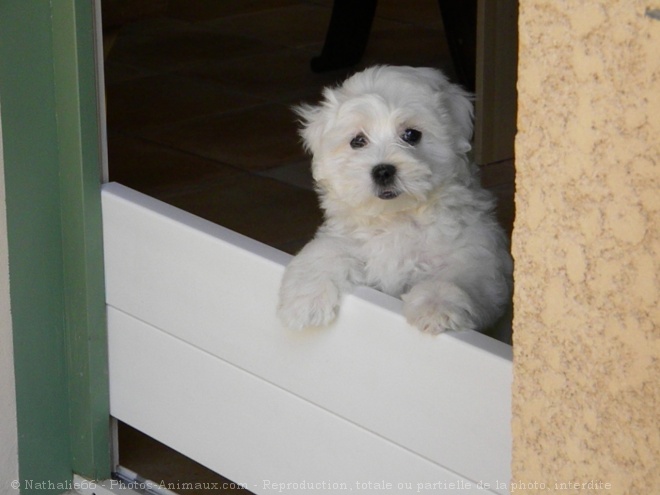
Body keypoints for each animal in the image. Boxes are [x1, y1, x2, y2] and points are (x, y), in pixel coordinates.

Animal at [276, 66, 512, 336]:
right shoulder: (347, 238)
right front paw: (303, 303)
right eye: (358, 141)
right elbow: (323, 252)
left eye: (411, 135)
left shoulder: (475, 253)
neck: (396, 217)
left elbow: (458, 276)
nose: (383, 171)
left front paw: (436, 306)